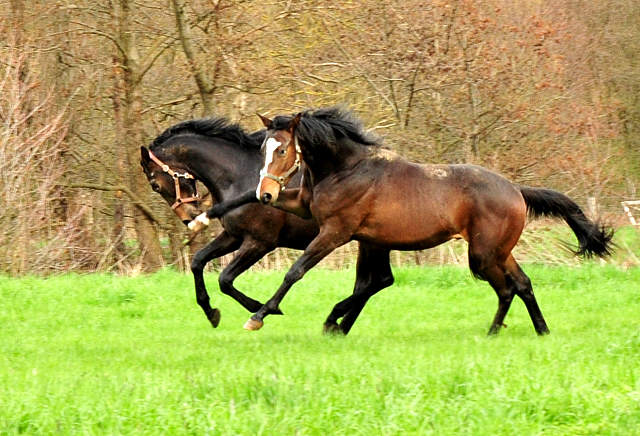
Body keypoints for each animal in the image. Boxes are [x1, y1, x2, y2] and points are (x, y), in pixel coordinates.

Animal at [139, 117, 396, 332]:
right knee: (370, 282)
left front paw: (261, 308)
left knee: (380, 280)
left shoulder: (259, 242)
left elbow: (225, 279)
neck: (238, 175)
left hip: (370, 242)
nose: (189, 218)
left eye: (155, 185)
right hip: (365, 242)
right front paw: (212, 313)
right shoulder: (233, 236)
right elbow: (198, 261)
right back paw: (339, 327)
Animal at [245, 105, 616, 334]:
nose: (266, 194)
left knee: (507, 288)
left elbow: (297, 271)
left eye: (282, 150)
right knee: (522, 284)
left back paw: (494, 332)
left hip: (483, 255)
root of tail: (516, 190)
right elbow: (364, 283)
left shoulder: (336, 231)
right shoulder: (311, 210)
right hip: (499, 251)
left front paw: (260, 315)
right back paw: (539, 329)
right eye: (264, 148)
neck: (346, 169)